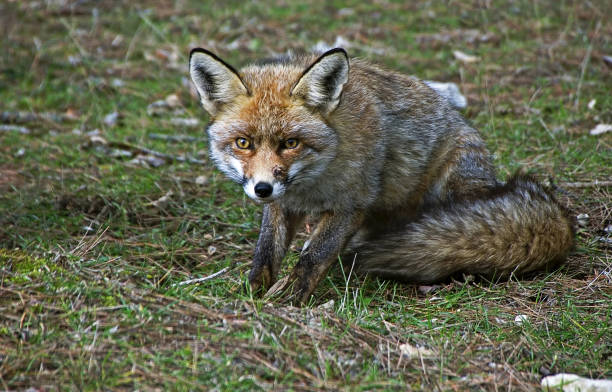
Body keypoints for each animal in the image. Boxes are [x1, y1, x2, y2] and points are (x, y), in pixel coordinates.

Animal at [188, 46, 572, 304]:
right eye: (243, 143)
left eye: (291, 143)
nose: (263, 189)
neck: (312, 184)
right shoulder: (284, 205)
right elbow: (265, 253)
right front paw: (253, 293)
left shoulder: (351, 205)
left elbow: (313, 257)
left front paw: (288, 298)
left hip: (449, 194)